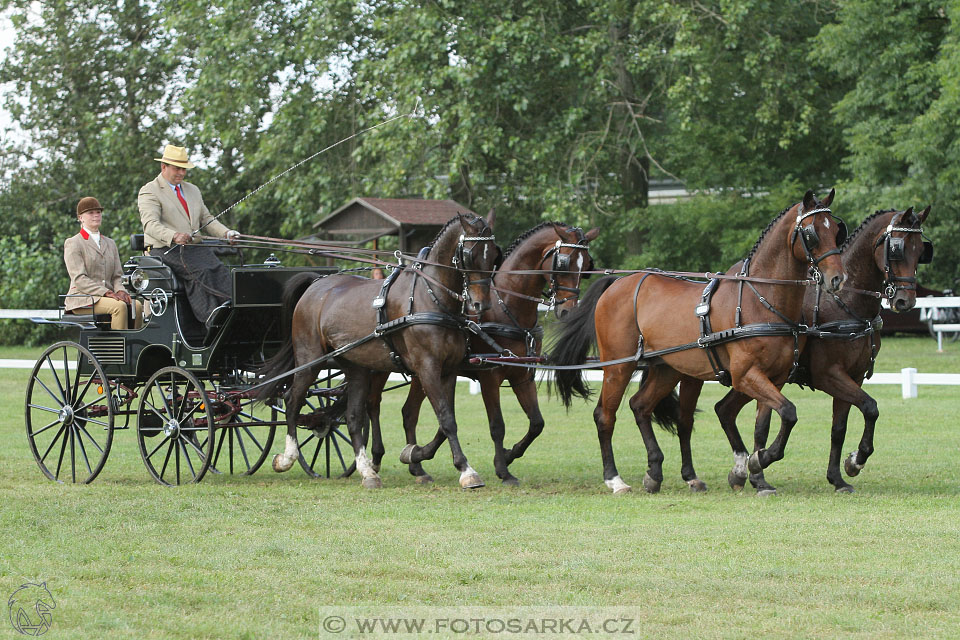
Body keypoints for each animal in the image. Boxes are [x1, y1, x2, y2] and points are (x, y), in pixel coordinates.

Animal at [255, 212, 502, 488]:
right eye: (469, 254)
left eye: (494, 255)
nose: (481, 304)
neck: (431, 298)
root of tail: (316, 285)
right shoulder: (427, 368)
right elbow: (446, 418)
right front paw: (466, 471)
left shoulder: (448, 370)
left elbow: (444, 421)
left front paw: (416, 454)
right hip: (311, 361)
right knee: (293, 401)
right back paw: (287, 458)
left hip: (357, 368)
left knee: (354, 417)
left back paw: (367, 471)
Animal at [368, 222, 600, 482]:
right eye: (563, 262)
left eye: (586, 264)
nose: (568, 312)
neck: (506, 306)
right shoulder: (490, 375)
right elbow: (496, 425)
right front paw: (502, 469)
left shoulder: (522, 375)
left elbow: (536, 423)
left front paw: (509, 455)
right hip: (381, 368)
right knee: (372, 405)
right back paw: (376, 458)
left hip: (422, 371)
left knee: (408, 413)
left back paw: (416, 464)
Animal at [552, 190, 844, 496]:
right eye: (811, 233)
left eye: (836, 231)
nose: (837, 278)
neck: (760, 300)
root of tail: (618, 283)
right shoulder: (745, 375)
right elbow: (789, 412)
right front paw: (755, 462)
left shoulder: (774, 377)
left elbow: (767, 425)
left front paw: (758, 471)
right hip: (618, 367)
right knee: (604, 415)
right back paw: (614, 479)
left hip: (667, 369)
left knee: (640, 406)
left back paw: (656, 472)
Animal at [724, 205, 932, 496]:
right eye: (897, 249)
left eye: (921, 250)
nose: (905, 300)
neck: (845, 304)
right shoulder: (829, 376)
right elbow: (870, 407)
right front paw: (855, 461)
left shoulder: (853, 377)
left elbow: (840, 428)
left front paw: (839, 476)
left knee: (725, 410)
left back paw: (741, 471)